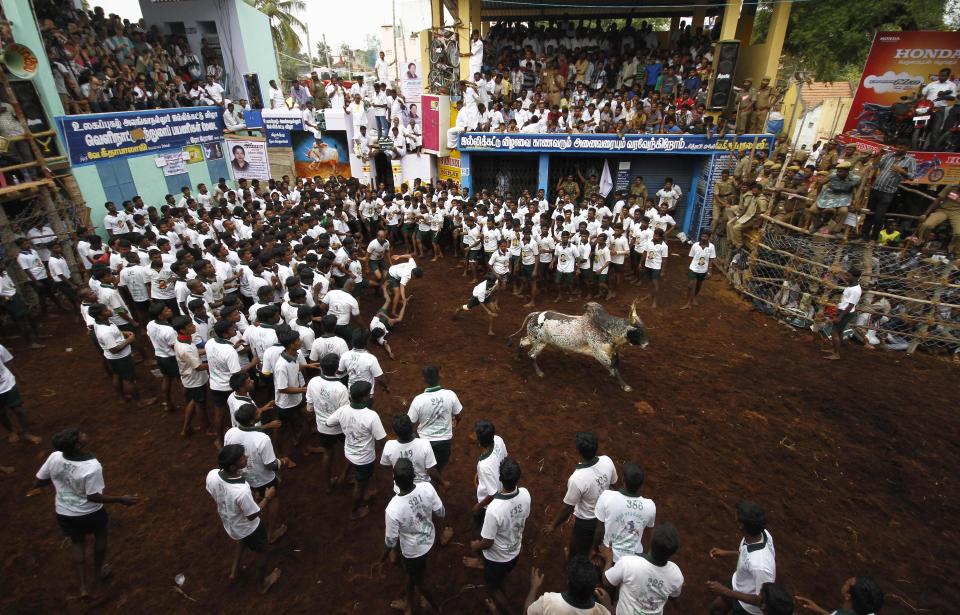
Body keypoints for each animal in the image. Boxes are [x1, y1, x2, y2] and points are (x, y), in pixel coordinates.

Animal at [506, 300, 648, 392]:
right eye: (637, 331)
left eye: (644, 329)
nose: (646, 344)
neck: (606, 329)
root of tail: (535, 314)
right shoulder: (598, 352)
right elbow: (613, 367)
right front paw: (625, 386)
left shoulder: (611, 351)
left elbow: (615, 364)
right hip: (540, 342)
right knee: (531, 355)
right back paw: (539, 372)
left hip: (534, 339)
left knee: (522, 341)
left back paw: (517, 357)